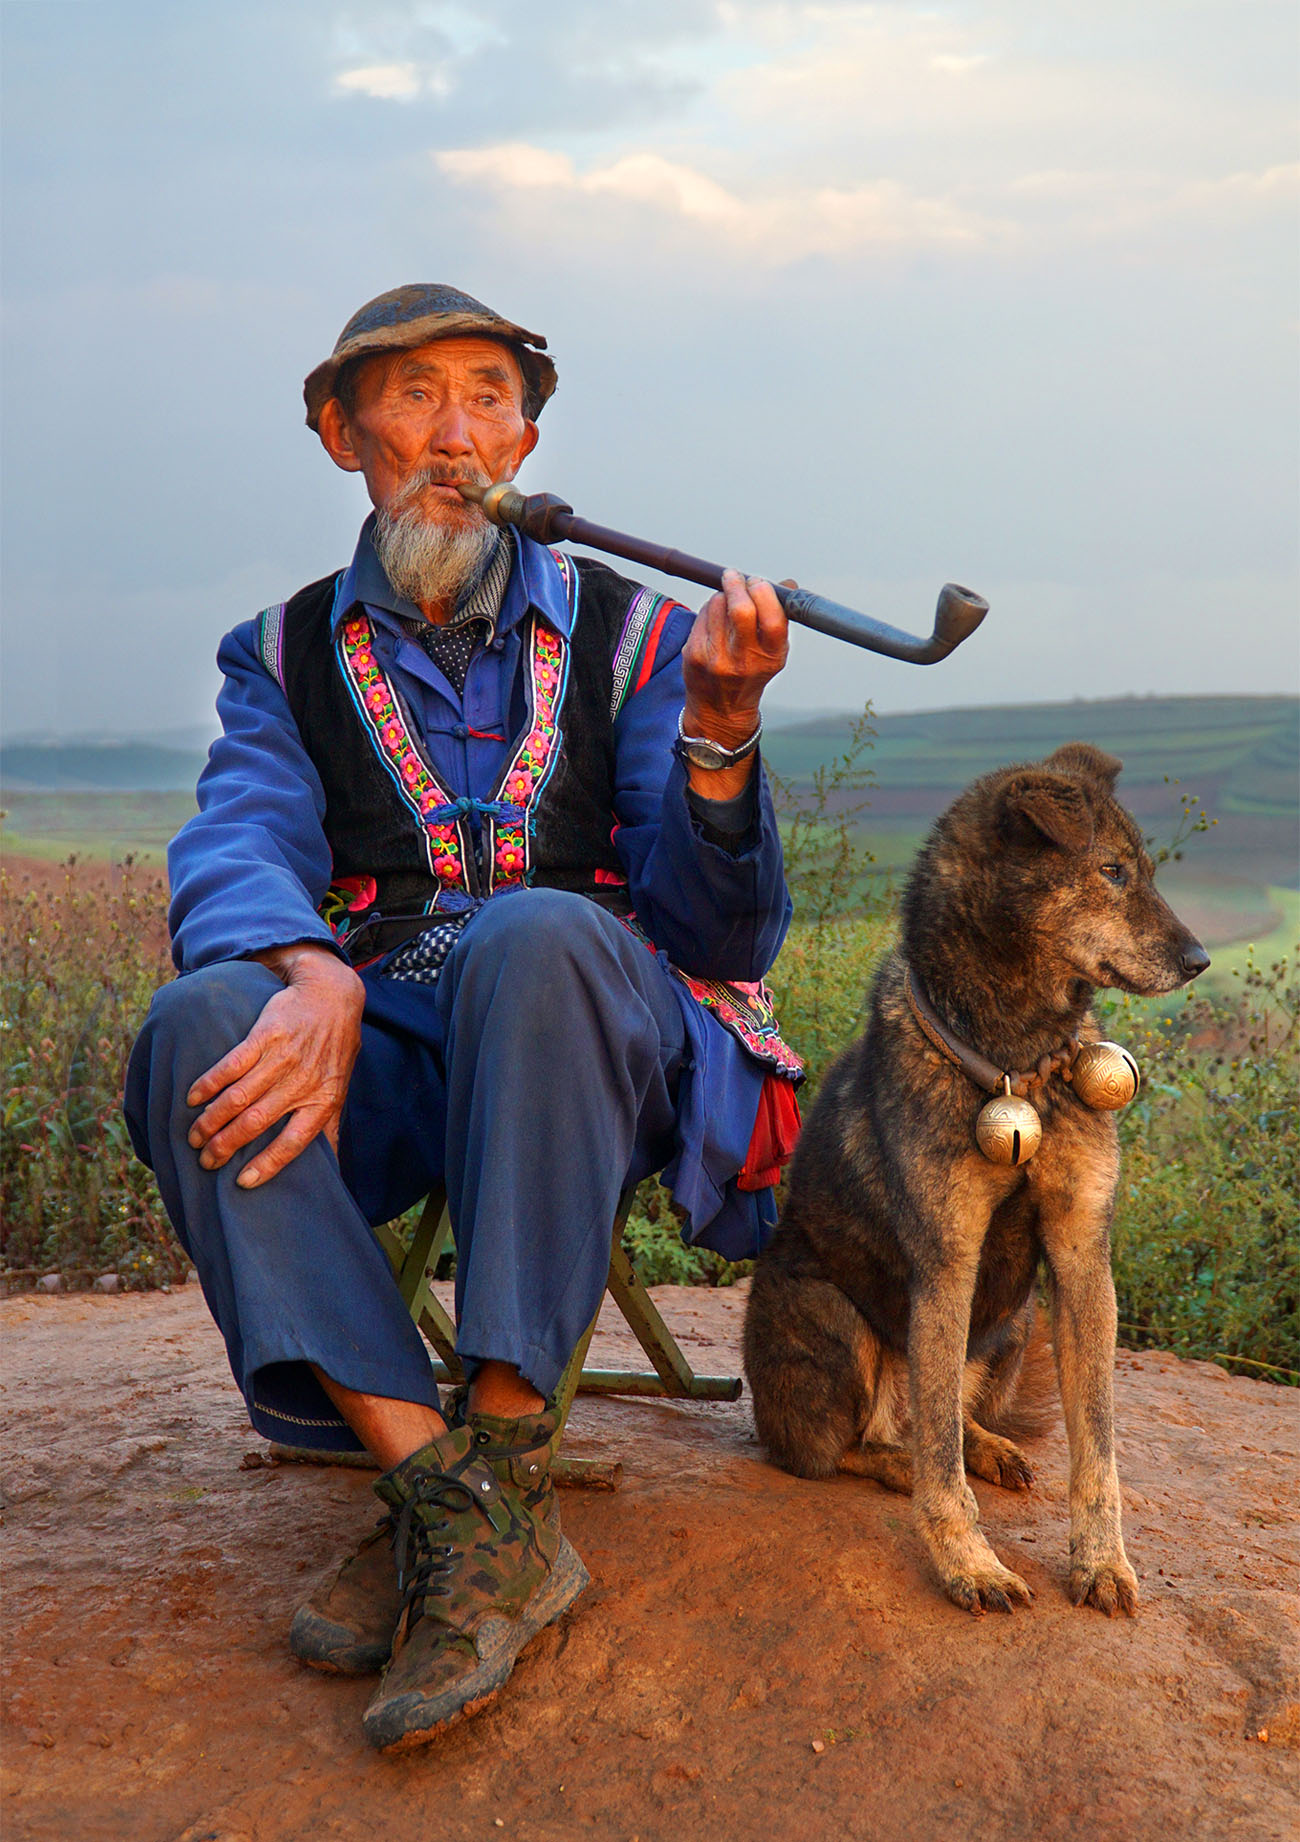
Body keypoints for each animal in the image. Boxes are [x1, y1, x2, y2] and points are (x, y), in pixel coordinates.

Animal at [743, 744, 1207, 1613]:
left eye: (1145, 870)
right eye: (1112, 870)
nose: (1199, 961)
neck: (1020, 1060)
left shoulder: (1082, 1257)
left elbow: (1097, 1445)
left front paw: (1101, 1563)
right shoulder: (947, 1263)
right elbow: (940, 1469)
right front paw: (969, 1565)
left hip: (1016, 1321)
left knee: (949, 1418)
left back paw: (991, 1447)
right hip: (829, 1314)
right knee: (859, 1444)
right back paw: (896, 1462)